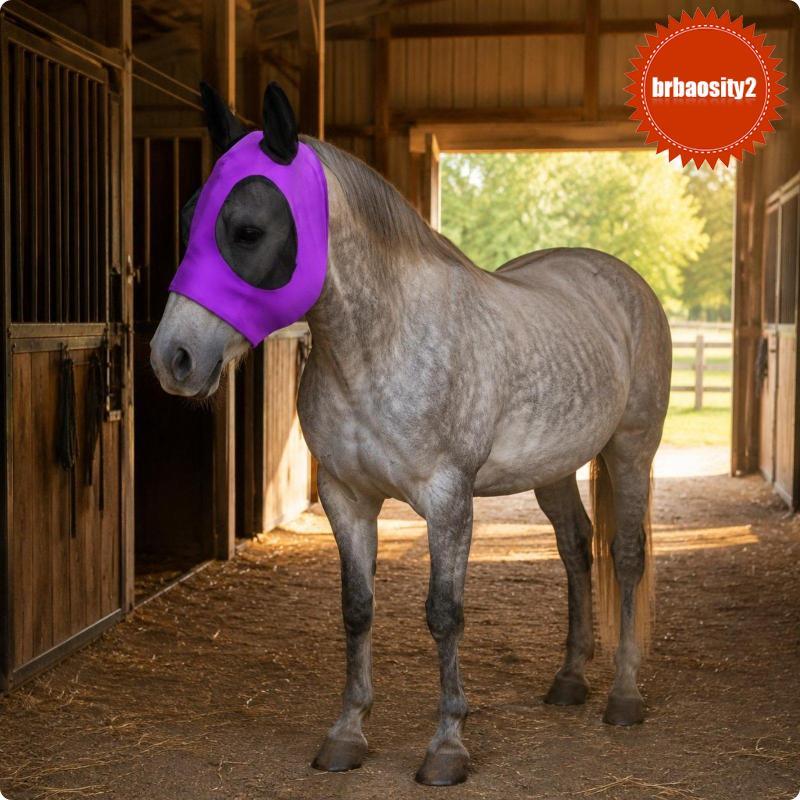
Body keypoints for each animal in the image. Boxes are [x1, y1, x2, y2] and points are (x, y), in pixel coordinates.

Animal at [150, 81, 672, 787]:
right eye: (186, 222)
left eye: (247, 229)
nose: (172, 358)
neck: (379, 344)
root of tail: (620, 279)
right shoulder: (347, 499)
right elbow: (357, 609)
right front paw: (346, 735)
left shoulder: (447, 502)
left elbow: (444, 615)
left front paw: (447, 745)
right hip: (555, 469)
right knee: (575, 548)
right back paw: (569, 680)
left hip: (631, 450)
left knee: (625, 554)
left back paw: (623, 695)